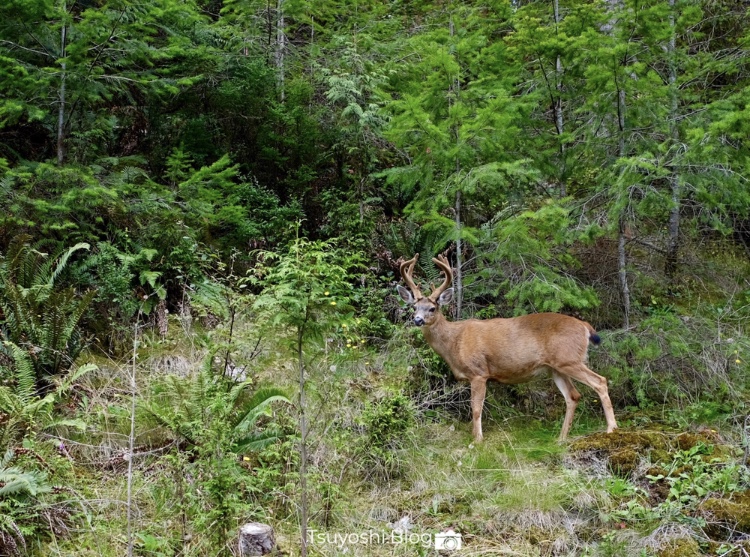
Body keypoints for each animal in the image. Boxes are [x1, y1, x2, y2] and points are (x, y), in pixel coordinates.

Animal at [396, 254, 620, 440]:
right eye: (414, 307)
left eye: (432, 308)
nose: (417, 320)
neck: (455, 342)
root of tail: (585, 327)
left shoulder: (479, 372)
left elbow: (476, 409)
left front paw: (477, 441)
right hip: (556, 367)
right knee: (573, 396)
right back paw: (561, 439)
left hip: (569, 358)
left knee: (600, 381)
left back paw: (611, 428)